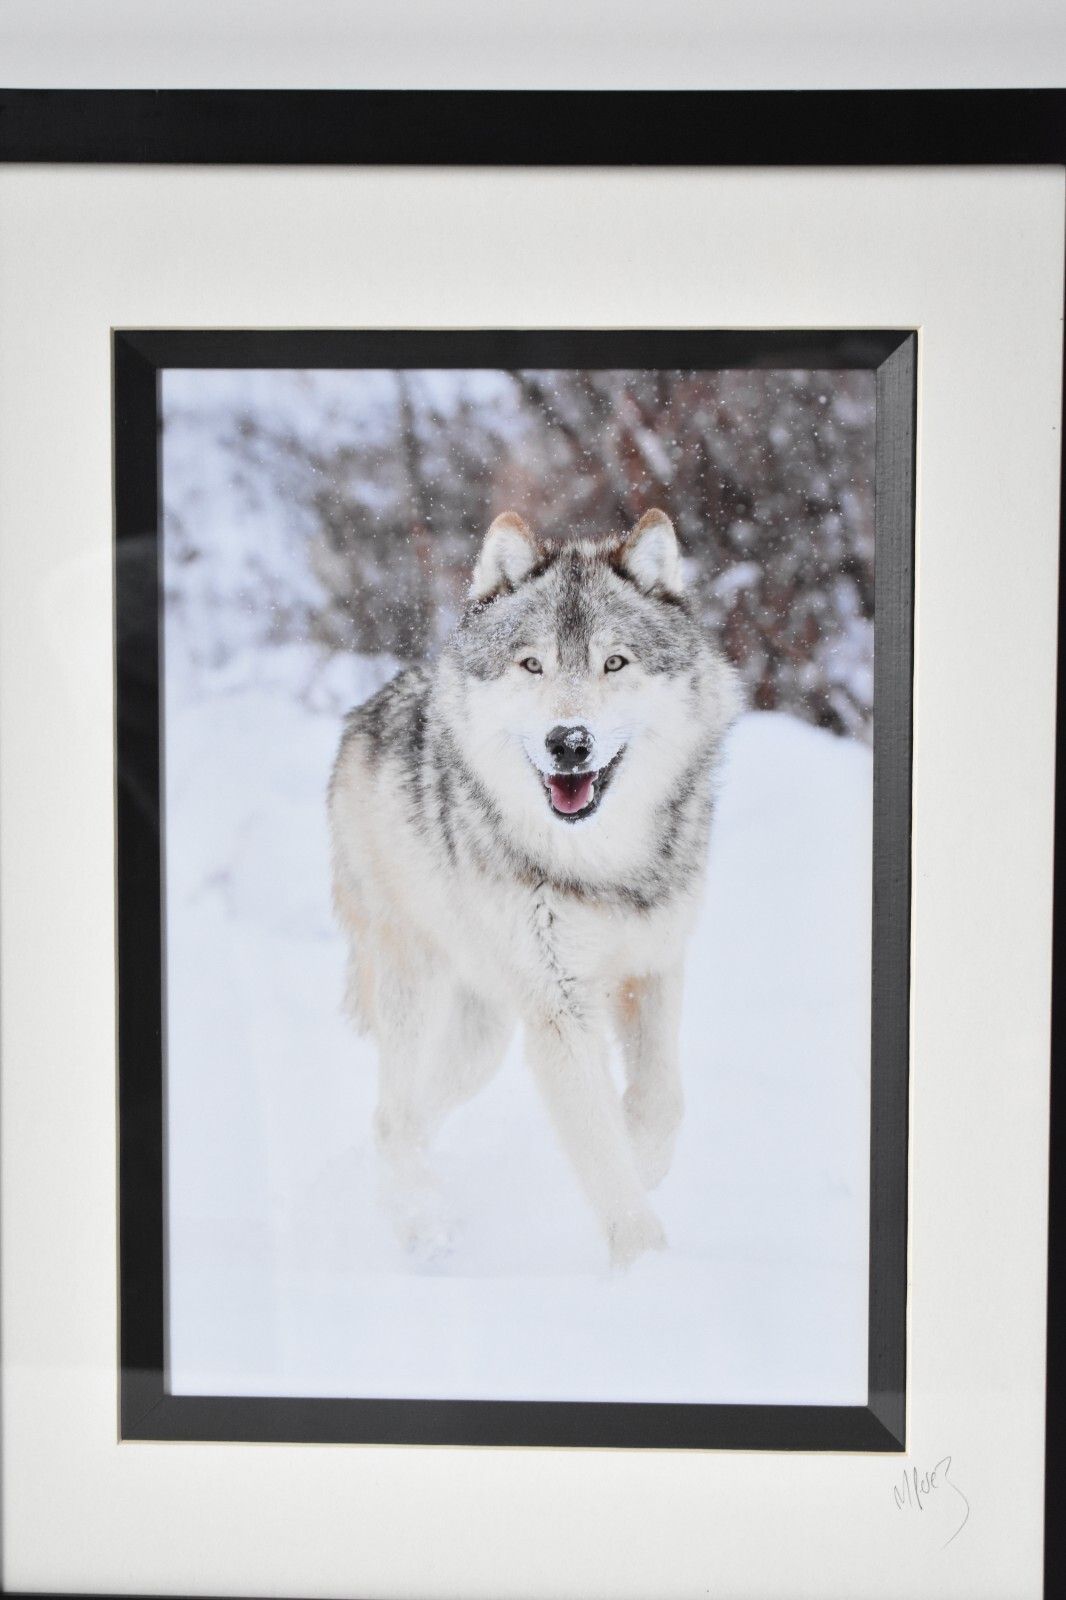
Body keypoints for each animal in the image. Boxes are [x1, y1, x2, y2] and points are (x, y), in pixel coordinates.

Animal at [329, 509, 740, 1267]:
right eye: (532, 664)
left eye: (614, 663)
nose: (568, 742)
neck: (601, 866)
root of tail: (365, 711)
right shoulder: (561, 1009)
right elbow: (601, 1150)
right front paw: (646, 1268)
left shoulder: (655, 964)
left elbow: (660, 1101)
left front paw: (645, 1161)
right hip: (417, 990)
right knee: (393, 1112)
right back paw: (421, 1223)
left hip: (482, 1038)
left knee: (409, 1112)